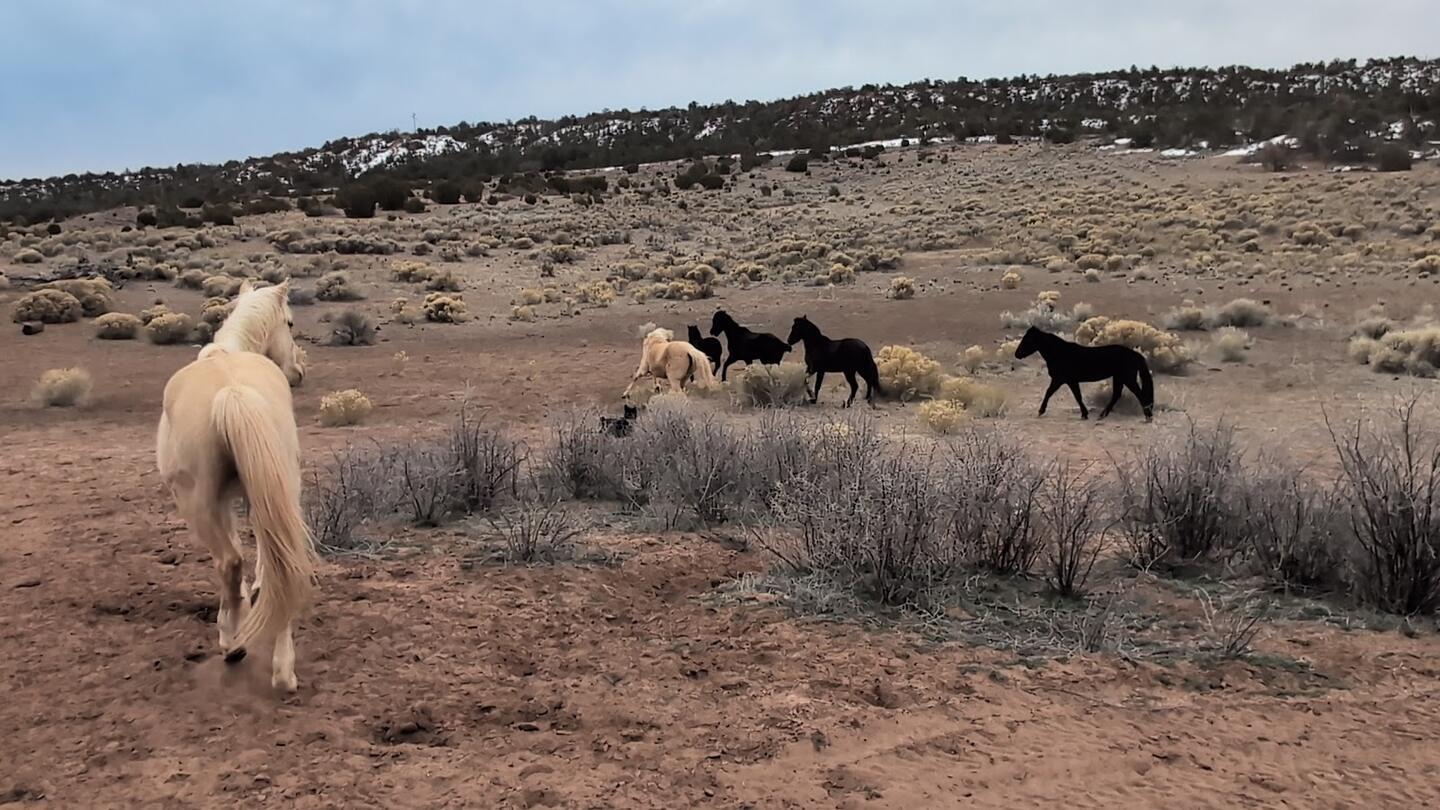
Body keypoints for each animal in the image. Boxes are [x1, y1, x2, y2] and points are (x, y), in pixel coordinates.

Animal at [156, 280, 316, 692]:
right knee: (283, 564)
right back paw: (283, 670)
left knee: (228, 562)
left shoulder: (221, 502)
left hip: (197, 503)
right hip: (283, 484)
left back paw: (232, 643)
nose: (299, 372)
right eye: (290, 323)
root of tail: (232, 393)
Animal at [1013, 326, 1154, 421]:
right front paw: (1084, 414)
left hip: (1127, 378)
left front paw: (1040, 411)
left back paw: (1148, 416)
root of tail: (1134, 354)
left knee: (1138, 394)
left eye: (1027, 340)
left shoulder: (1061, 379)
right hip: (1119, 378)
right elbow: (1077, 396)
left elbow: (1051, 393)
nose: (1017, 354)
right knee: (1116, 395)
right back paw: (1102, 415)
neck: (1059, 353)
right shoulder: (1069, 381)